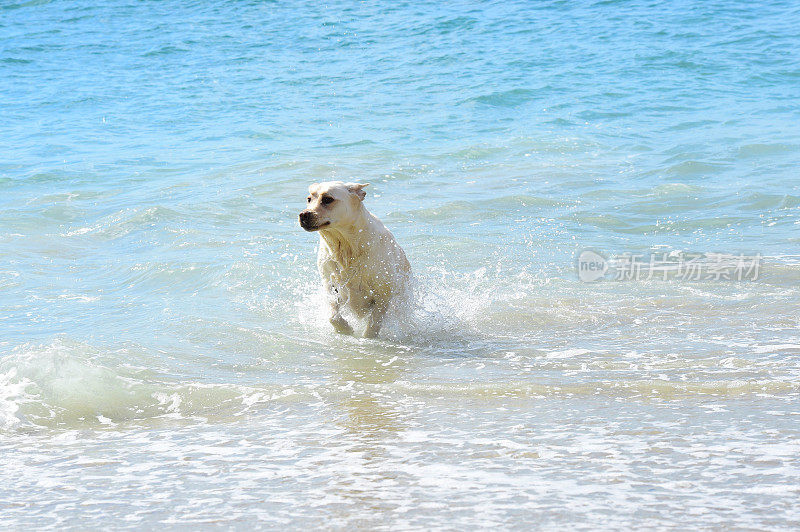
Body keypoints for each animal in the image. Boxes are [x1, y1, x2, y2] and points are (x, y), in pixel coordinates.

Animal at [300, 181, 412, 334]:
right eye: (309, 199)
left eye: (328, 199)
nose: (303, 215)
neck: (346, 247)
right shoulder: (330, 285)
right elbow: (333, 316)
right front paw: (347, 331)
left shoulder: (383, 293)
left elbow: (373, 324)